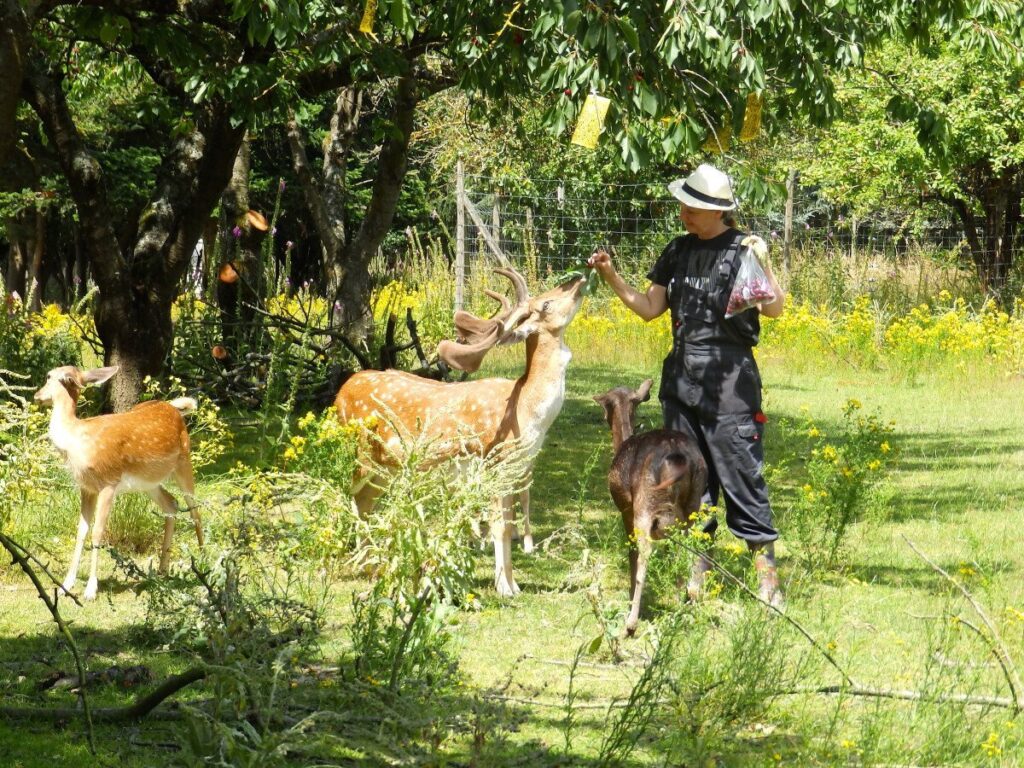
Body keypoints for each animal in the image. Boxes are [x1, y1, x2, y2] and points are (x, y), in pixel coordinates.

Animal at [33, 366, 203, 602]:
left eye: (49, 376)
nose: (37, 396)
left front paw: (91, 590)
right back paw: (161, 570)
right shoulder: (87, 487)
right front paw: (66, 584)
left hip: (184, 461)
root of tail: (175, 407)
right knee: (171, 503)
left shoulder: (109, 482)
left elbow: (97, 532)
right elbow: (81, 530)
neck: (77, 443)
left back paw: (205, 563)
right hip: (149, 482)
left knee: (195, 510)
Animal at [337, 268, 585, 598]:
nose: (579, 279)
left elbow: (507, 525)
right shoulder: (493, 464)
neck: (529, 413)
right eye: (546, 304)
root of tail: (341, 391)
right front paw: (504, 588)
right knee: (355, 499)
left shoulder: (515, 471)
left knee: (365, 502)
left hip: (385, 467)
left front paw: (514, 585)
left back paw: (372, 566)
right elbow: (498, 527)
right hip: (360, 453)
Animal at [598, 378, 708, 638]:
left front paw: (630, 598)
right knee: (690, 548)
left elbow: (631, 552)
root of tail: (679, 457)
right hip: (692, 505)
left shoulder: (624, 508)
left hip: (644, 506)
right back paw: (684, 604)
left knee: (645, 552)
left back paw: (631, 623)